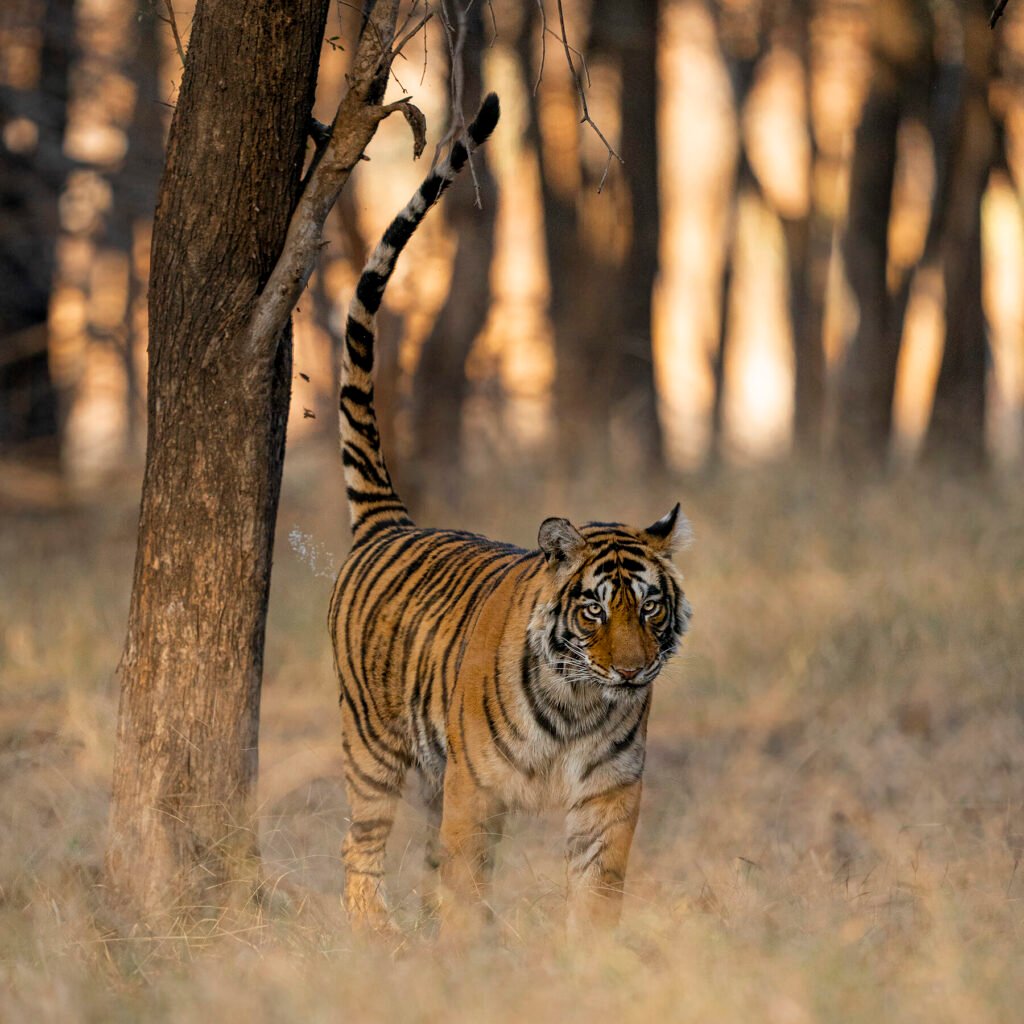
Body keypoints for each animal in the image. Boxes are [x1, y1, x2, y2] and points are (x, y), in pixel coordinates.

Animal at [329, 92, 693, 940]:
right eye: (594, 610)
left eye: (650, 608)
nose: (632, 671)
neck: (582, 702)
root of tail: (392, 522)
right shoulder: (475, 785)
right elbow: (463, 877)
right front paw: (466, 950)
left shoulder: (610, 792)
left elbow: (597, 887)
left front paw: (591, 955)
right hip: (373, 748)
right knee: (359, 848)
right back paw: (372, 933)